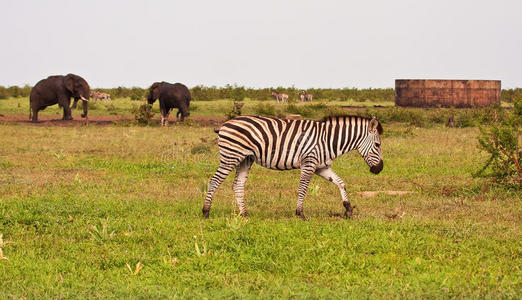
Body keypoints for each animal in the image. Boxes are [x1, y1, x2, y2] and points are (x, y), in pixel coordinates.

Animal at [202, 113, 382, 219]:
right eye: (378, 145)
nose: (379, 169)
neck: (328, 140)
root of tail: (225, 124)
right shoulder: (309, 163)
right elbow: (303, 188)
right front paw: (300, 213)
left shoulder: (321, 167)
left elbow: (340, 183)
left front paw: (348, 209)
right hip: (231, 156)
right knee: (214, 181)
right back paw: (206, 212)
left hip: (245, 159)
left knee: (238, 185)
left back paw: (244, 214)